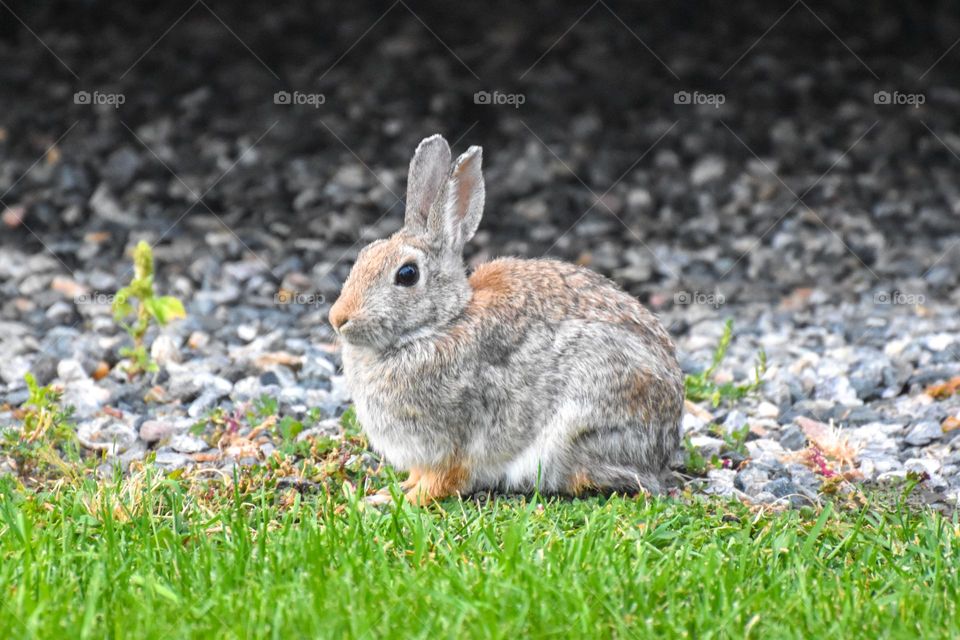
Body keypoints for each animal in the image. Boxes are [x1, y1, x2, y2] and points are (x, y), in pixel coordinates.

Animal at [328, 134, 684, 505]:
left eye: (407, 274)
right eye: (364, 255)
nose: (337, 318)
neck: (442, 323)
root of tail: (662, 449)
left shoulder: (454, 441)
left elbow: (444, 479)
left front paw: (396, 499)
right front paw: (397, 488)